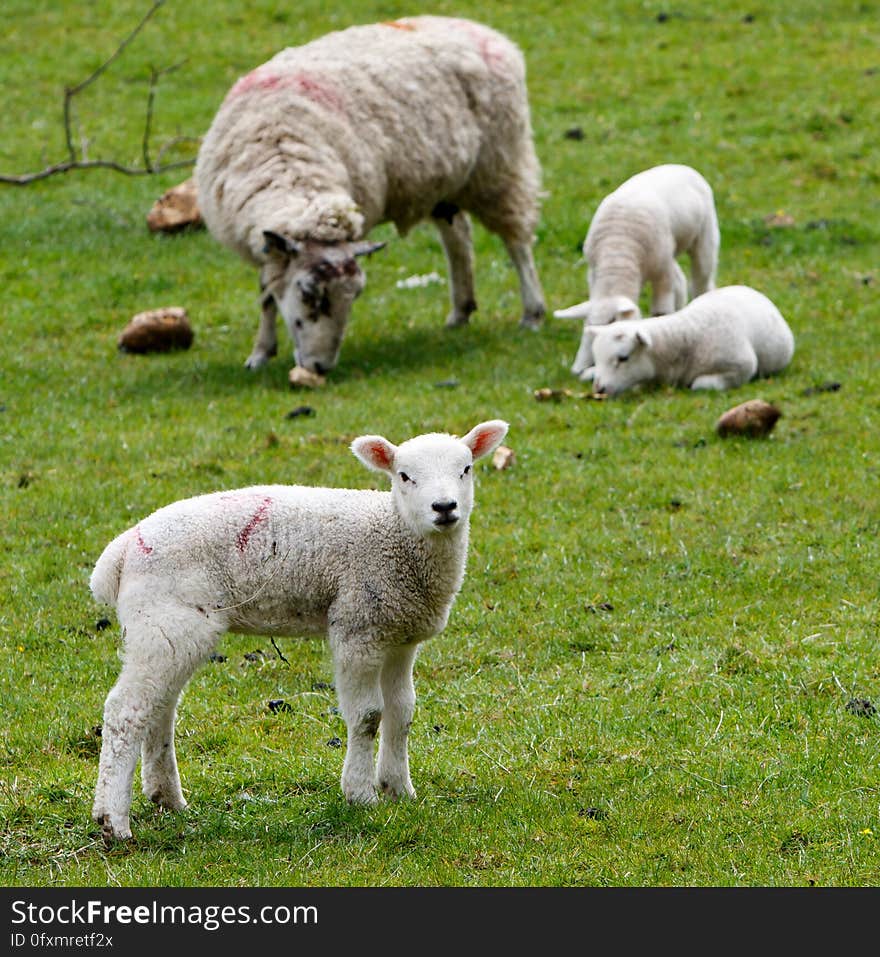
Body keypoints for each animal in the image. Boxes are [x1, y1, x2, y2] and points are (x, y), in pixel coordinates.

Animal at [89, 418, 508, 836]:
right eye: (404, 476)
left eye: (465, 469)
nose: (445, 507)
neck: (395, 535)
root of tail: (122, 550)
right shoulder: (357, 626)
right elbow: (368, 715)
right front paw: (361, 794)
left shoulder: (400, 633)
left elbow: (401, 711)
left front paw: (398, 789)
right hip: (164, 620)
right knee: (126, 711)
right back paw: (113, 820)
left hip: (169, 631)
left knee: (159, 707)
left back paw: (167, 797)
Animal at [196, 15, 548, 374]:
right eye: (308, 293)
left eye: (355, 296)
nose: (320, 367)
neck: (286, 158)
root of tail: (487, 33)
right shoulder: (268, 249)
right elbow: (267, 295)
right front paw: (260, 353)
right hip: (445, 183)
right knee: (459, 238)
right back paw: (460, 311)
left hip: (500, 165)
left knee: (517, 242)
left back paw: (532, 312)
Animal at [556, 164, 720, 380]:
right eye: (588, 325)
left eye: (613, 322)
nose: (579, 370)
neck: (618, 254)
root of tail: (678, 165)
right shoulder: (593, 275)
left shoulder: (661, 273)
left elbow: (660, 312)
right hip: (670, 251)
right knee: (680, 279)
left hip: (704, 236)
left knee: (702, 279)